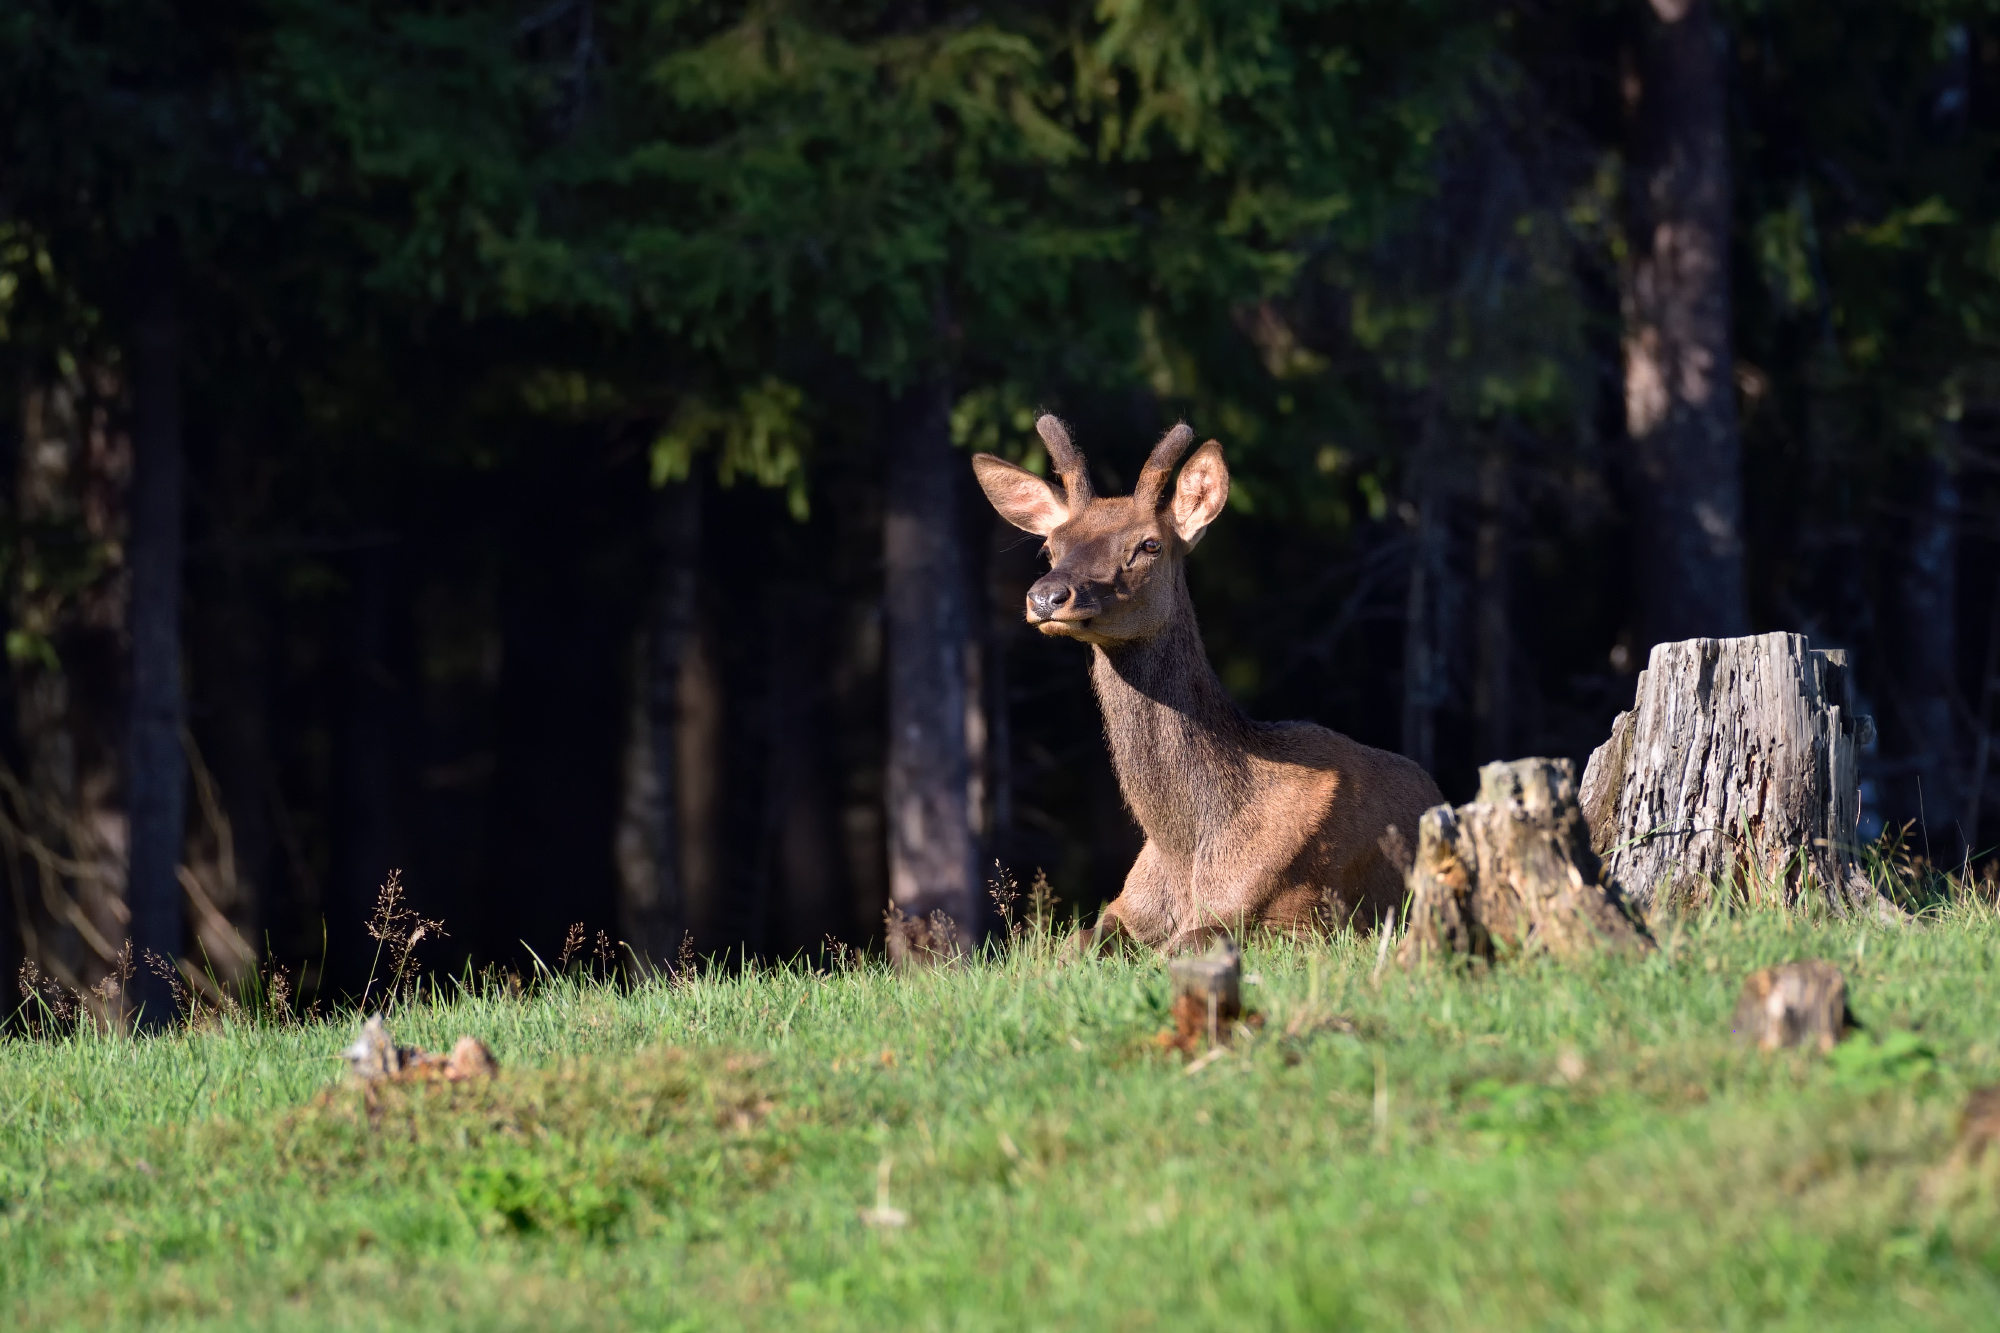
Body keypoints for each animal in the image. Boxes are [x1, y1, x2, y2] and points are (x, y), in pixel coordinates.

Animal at [972, 416, 1444, 954]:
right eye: (1050, 547)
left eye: (1149, 544)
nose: (1047, 597)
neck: (1182, 850)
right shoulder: (1126, 905)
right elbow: (1075, 942)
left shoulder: (1312, 916)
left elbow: (1180, 946)